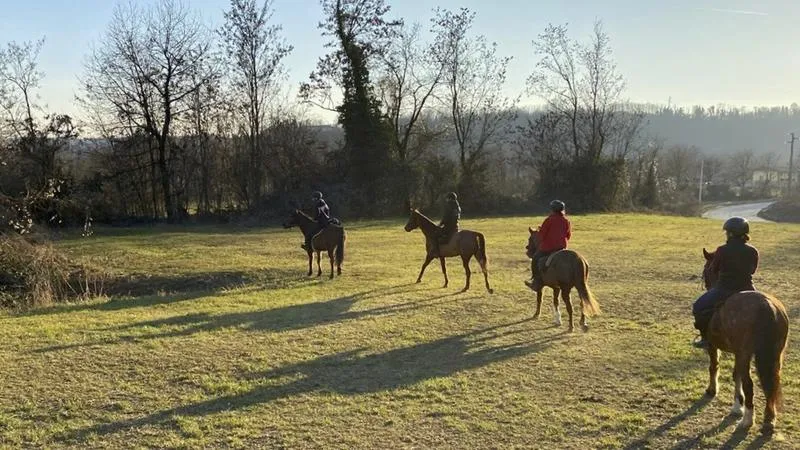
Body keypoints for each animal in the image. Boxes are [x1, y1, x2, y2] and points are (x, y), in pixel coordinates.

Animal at [699, 248, 789, 435]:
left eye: (706, 271)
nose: (707, 284)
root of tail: (767, 306)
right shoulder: (738, 353)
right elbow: (736, 375)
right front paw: (736, 406)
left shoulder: (714, 346)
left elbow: (714, 366)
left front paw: (712, 390)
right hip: (774, 355)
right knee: (772, 384)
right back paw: (769, 420)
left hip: (746, 353)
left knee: (750, 384)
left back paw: (747, 420)